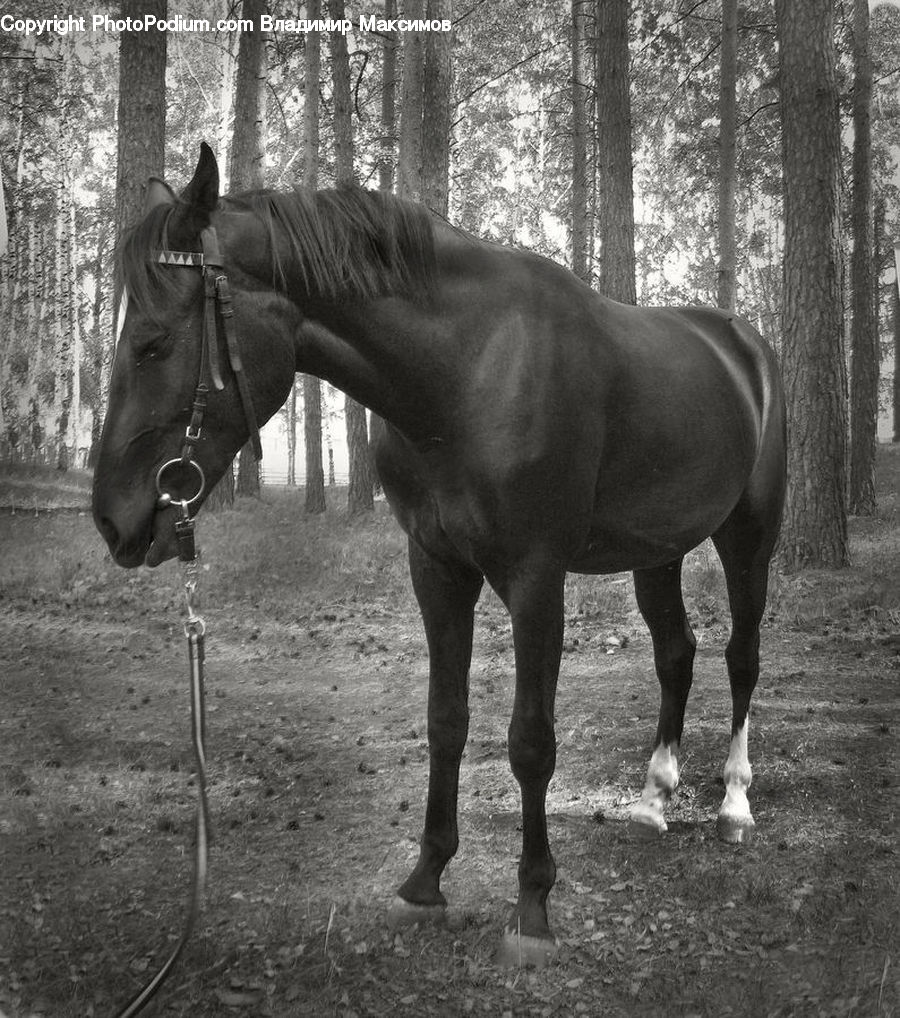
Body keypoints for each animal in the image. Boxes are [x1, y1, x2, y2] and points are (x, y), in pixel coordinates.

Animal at [92, 143, 786, 967]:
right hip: (659, 551)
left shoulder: (534, 578)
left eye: (154, 343)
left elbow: (530, 741)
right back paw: (653, 799)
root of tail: (745, 348)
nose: (113, 519)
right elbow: (445, 719)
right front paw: (425, 881)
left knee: (742, 657)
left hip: (749, 536)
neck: (467, 371)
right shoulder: (436, 568)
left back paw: (736, 803)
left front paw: (533, 906)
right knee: (676, 654)